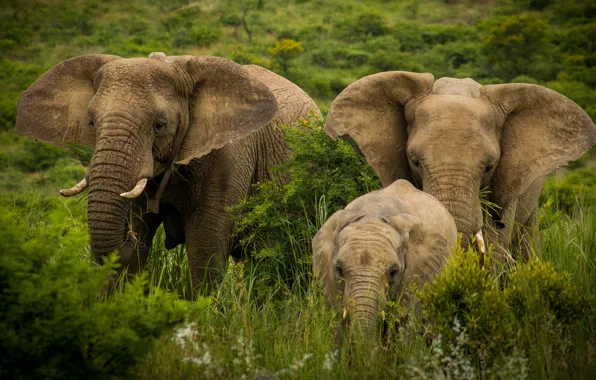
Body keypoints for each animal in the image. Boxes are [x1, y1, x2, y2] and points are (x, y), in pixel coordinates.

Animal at [15, 52, 322, 290]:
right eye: (91, 122)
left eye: (159, 125)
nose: (127, 234)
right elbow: (138, 246)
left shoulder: (230, 155)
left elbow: (205, 244)